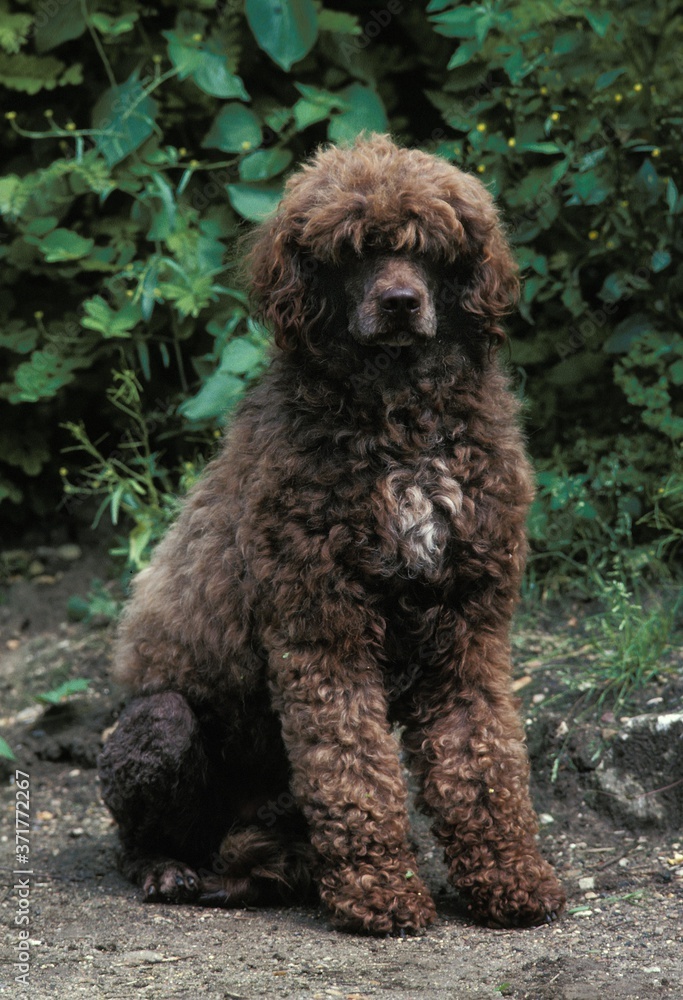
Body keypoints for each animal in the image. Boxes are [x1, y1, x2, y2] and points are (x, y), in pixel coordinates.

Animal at [97, 129, 568, 932]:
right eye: (353, 251)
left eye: (431, 248)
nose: (401, 302)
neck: (401, 420)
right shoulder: (324, 631)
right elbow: (352, 772)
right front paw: (381, 892)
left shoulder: (468, 629)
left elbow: (483, 763)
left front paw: (510, 878)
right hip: (159, 720)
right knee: (138, 835)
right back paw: (169, 870)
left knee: (260, 858)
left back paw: (253, 878)